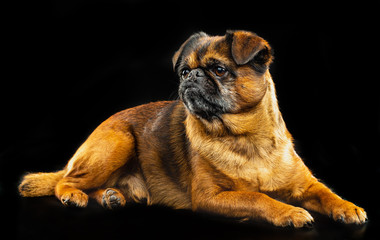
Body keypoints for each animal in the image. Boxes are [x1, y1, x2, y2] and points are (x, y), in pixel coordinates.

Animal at [19, 29, 366, 227]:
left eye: (219, 69)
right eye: (184, 71)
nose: (192, 76)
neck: (245, 139)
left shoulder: (307, 185)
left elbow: (327, 193)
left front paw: (347, 207)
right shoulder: (210, 197)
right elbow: (258, 198)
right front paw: (289, 213)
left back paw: (110, 196)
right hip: (117, 143)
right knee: (64, 181)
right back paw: (73, 195)